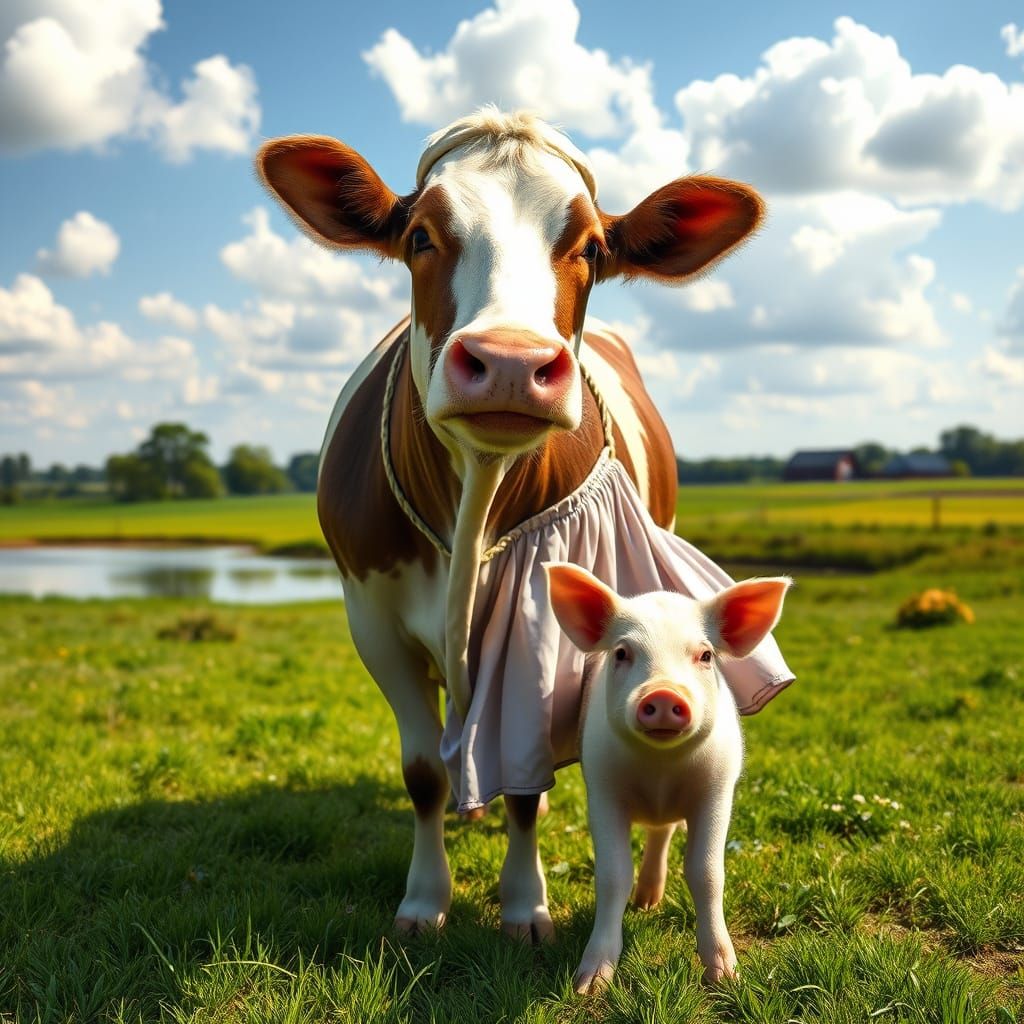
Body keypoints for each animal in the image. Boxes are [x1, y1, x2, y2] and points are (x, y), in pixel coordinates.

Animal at [256, 109, 792, 941]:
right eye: (421, 235)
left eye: (592, 248)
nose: (510, 362)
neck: (476, 494)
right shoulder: (372, 620)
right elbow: (422, 773)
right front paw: (424, 899)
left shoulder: (543, 630)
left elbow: (526, 783)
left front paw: (523, 903)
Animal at [544, 562, 791, 993]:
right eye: (622, 652)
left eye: (705, 655)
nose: (662, 693)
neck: (660, 769)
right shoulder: (602, 789)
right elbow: (612, 874)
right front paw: (589, 985)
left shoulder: (717, 789)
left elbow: (707, 872)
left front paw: (726, 978)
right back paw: (643, 903)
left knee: (663, 832)